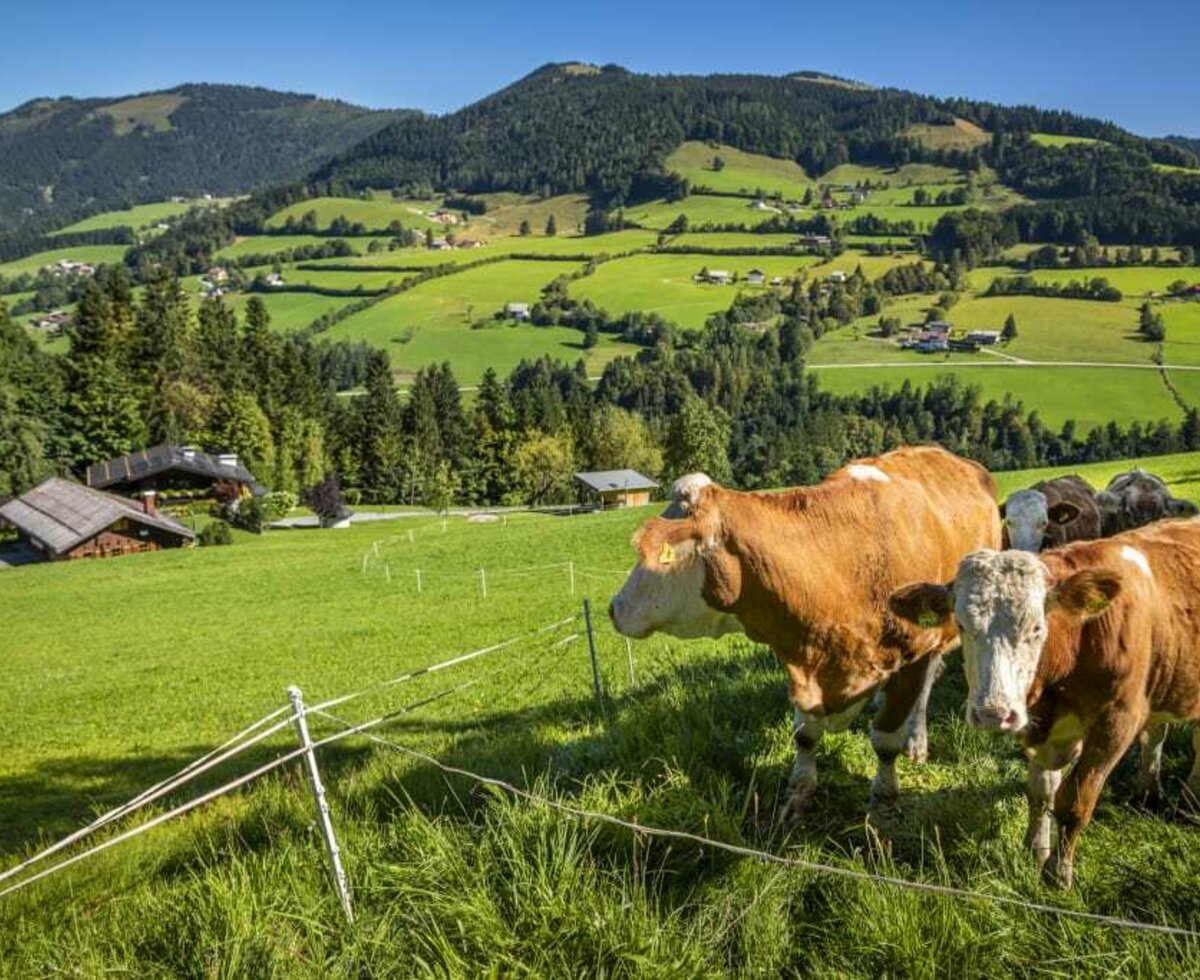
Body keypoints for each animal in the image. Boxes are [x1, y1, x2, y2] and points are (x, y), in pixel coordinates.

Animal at [614, 446, 998, 815]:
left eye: (653, 558)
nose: (614, 608)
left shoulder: (914, 650)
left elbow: (885, 740)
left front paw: (884, 802)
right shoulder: (804, 655)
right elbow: (805, 736)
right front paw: (798, 795)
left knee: (928, 681)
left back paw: (916, 740)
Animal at [892, 522, 1200, 892]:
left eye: (1037, 627)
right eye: (962, 625)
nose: (993, 713)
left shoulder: (1117, 723)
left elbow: (1075, 802)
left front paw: (1058, 873)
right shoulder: (1037, 728)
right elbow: (1041, 792)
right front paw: (1036, 849)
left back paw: (1190, 803)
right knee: (1158, 733)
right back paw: (1150, 792)